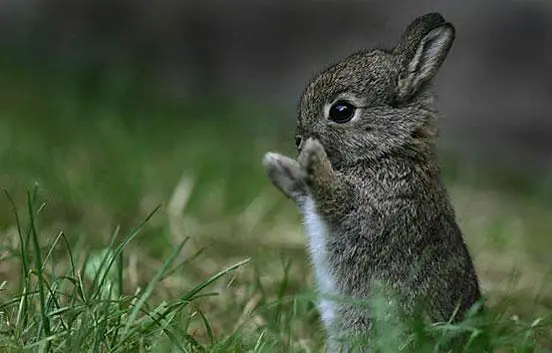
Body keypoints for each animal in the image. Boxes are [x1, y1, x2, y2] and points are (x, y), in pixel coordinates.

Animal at [260, 12, 480, 350]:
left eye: (341, 111)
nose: (299, 139)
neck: (387, 151)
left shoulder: (368, 207)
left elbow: (332, 194)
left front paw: (312, 156)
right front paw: (277, 164)